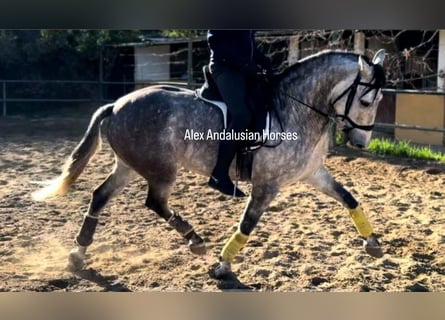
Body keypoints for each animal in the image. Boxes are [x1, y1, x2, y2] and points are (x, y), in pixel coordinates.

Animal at [32, 48, 386, 278]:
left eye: (379, 100)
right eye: (366, 99)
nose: (361, 143)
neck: (296, 109)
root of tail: (116, 105)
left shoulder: (314, 173)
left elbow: (349, 198)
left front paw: (372, 243)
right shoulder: (266, 185)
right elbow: (247, 224)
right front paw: (222, 265)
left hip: (128, 166)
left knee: (100, 196)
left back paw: (78, 254)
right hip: (161, 170)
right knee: (155, 202)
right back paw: (195, 240)